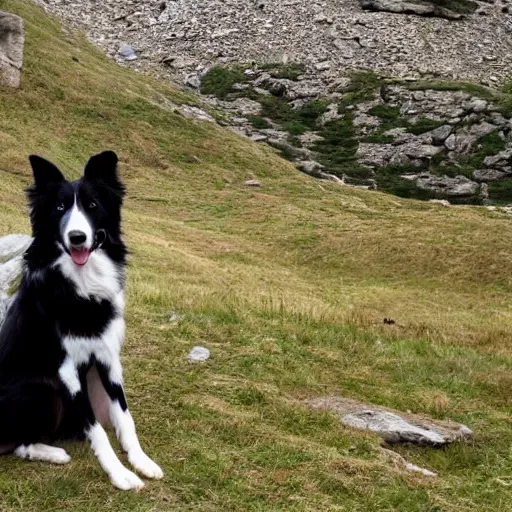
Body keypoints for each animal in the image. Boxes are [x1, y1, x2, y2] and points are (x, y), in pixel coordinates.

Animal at [0, 153, 162, 492]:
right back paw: (53, 453)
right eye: (60, 208)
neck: (81, 285)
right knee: (18, 443)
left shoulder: (108, 357)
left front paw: (141, 461)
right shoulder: (66, 370)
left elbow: (124, 416)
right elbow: (97, 430)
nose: (77, 237)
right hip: (40, 387)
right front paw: (120, 474)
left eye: (92, 205)